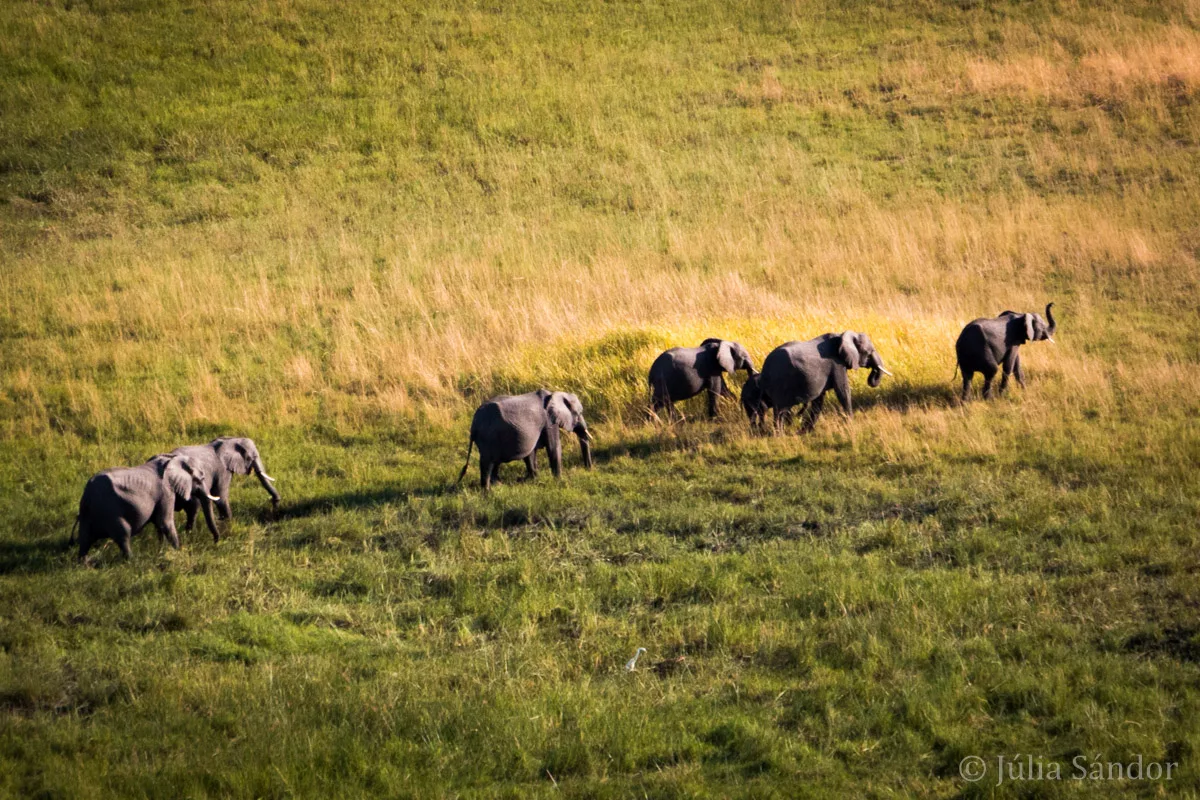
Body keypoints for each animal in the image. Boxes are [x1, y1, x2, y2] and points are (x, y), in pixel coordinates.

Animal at [70, 454, 218, 560]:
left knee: (85, 539)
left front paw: (161, 551)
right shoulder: (166, 491)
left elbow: (159, 525)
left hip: (88, 513)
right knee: (123, 534)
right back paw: (131, 561)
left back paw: (85, 564)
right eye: (201, 479)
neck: (172, 459)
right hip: (109, 511)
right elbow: (165, 523)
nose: (216, 542)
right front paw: (178, 552)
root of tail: (87, 495)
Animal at [457, 389, 593, 490]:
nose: (589, 469)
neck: (554, 394)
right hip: (489, 437)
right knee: (487, 462)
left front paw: (534, 479)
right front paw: (558, 480)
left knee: (494, 461)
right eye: (579, 413)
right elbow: (554, 448)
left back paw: (498, 485)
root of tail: (474, 423)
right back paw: (487, 492)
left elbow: (531, 453)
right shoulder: (549, 422)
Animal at [759, 332, 892, 432]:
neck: (842, 335)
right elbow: (843, 390)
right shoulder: (837, 364)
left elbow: (819, 399)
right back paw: (779, 435)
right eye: (870, 352)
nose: (873, 372)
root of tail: (765, 369)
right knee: (780, 410)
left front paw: (806, 432)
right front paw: (850, 425)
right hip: (779, 383)